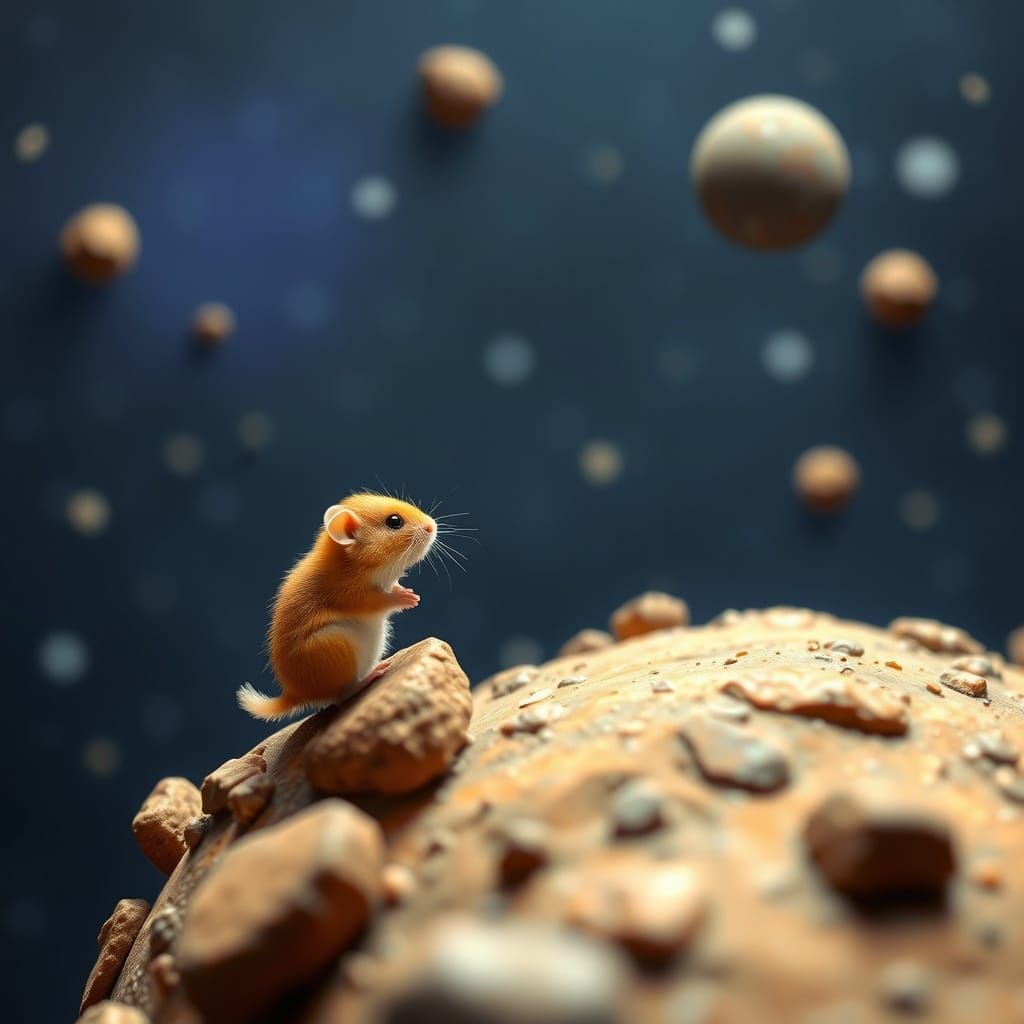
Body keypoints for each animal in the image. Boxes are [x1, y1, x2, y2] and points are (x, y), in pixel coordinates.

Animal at [237, 493, 436, 720]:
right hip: (335, 642)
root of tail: (294, 695)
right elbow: (381, 601)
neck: (350, 561)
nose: (432, 525)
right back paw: (372, 675)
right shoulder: (353, 595)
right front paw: (407, 598)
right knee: (342, 696)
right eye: (394, 522)